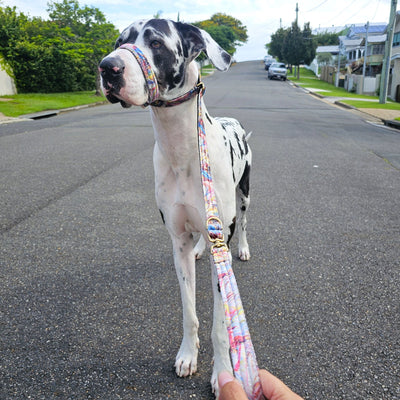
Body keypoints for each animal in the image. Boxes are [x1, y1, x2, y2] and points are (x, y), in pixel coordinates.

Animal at [98, 19, 252, 396]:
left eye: (155, 42)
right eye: (118, 41)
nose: (108, 67)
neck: (182, 148)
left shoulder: (220, 251)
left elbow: (219, 326)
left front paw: (222, 374)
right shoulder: (177, 243)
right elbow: (189, 311)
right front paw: (187, 355)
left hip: (244, 194)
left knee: (243, 222)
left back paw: (243, 247)